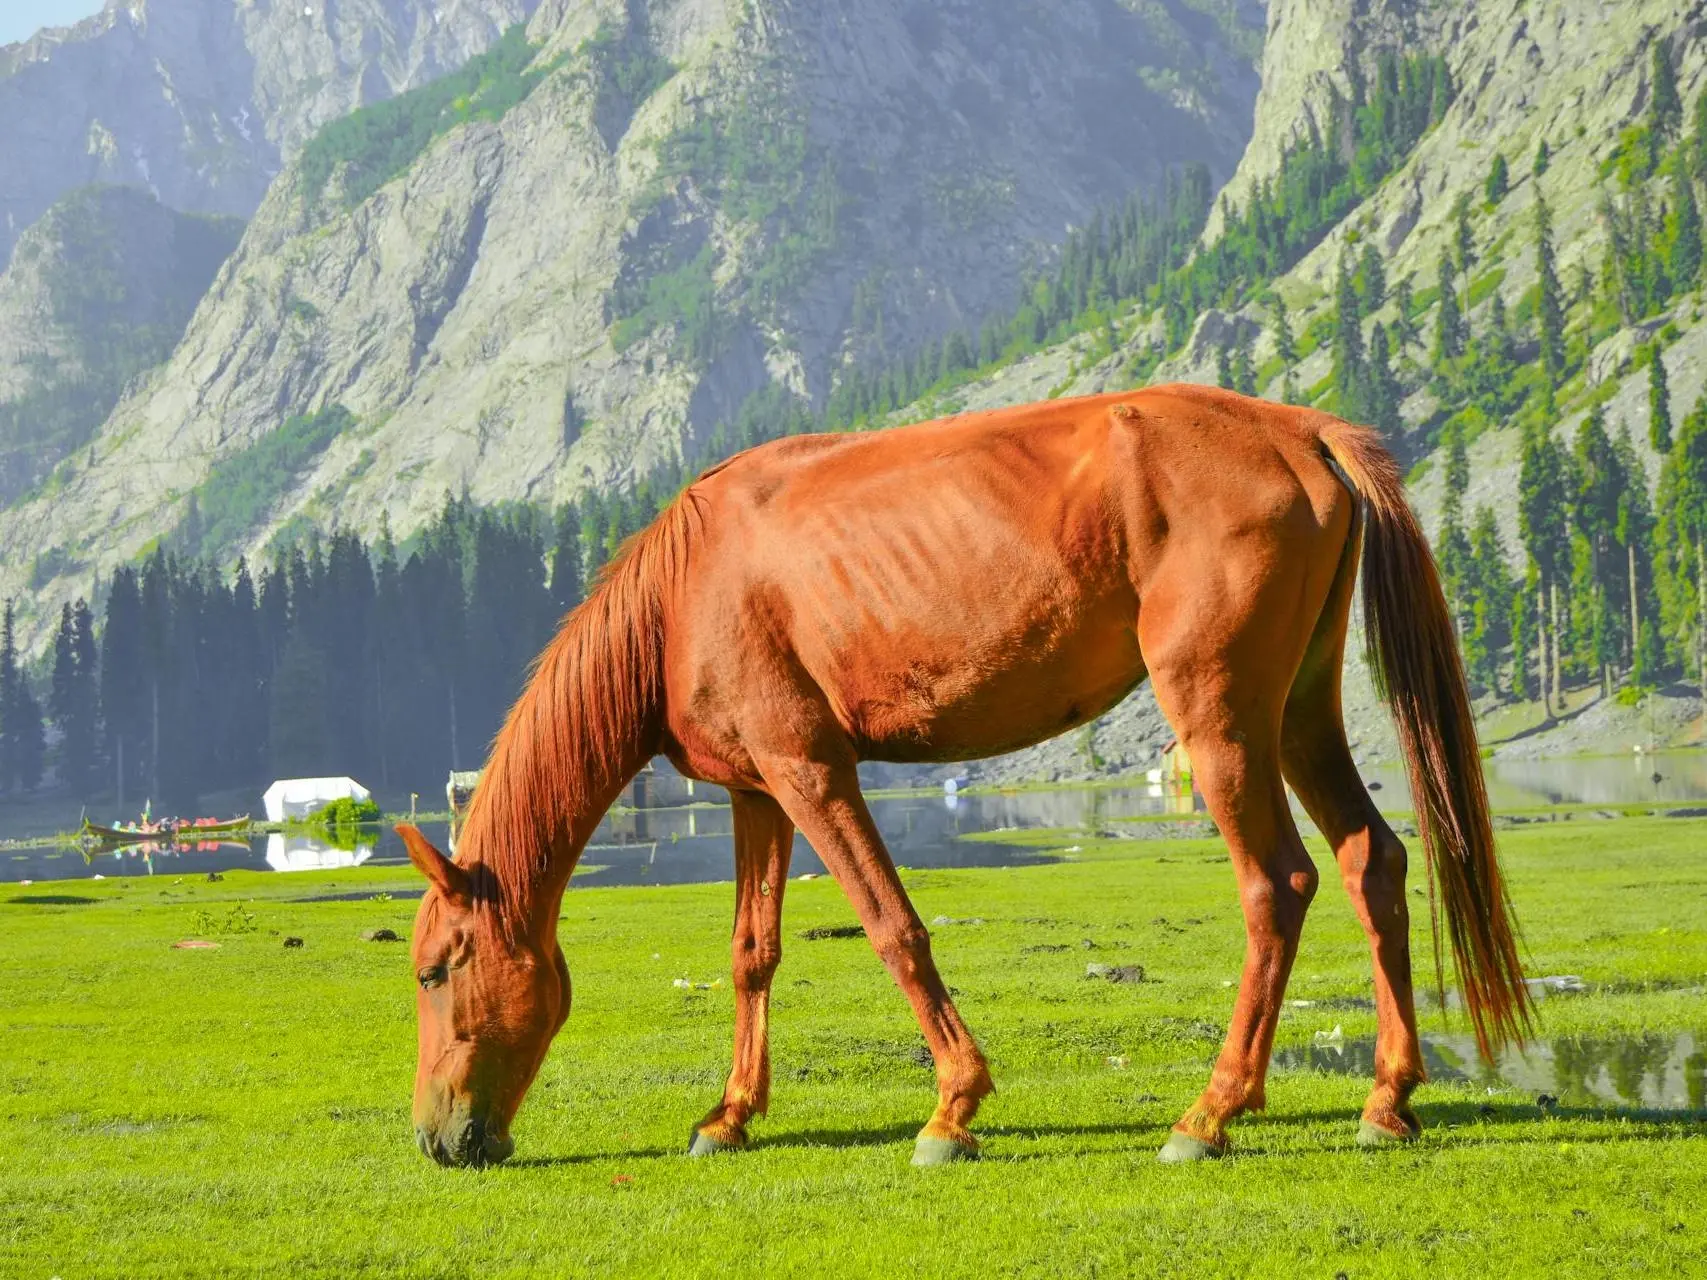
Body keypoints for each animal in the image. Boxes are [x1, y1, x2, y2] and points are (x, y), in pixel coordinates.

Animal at [402, 384, 1536, 1174]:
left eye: (434, 973)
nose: (439, 1139)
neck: (687, 589)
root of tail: (1296, 430)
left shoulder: (812, 771)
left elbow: (893, 929)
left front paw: (952, 1107)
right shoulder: (756, 791)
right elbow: (751, 953)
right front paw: (730, 1114)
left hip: (1219, 720)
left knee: (1277, 885)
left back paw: (1210, 1113)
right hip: (1298, 713)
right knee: (1369, 861)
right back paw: (1386, 1100)